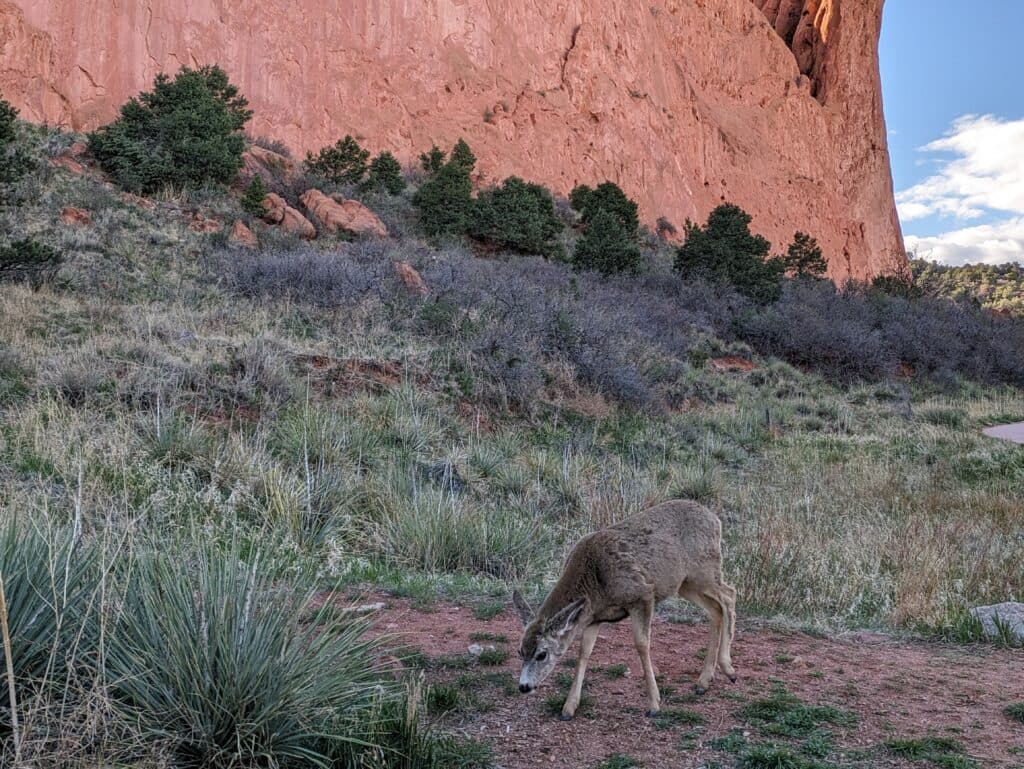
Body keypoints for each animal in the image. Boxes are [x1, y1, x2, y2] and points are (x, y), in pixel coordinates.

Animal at [512, 499, 737, 720]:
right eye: (520, 651)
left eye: (542, 654)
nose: (524, 687)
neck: (595, 582)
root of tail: (715, 519)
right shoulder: (593, 617)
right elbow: (584, 652)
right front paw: (569, 707)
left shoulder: (642, 595)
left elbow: (642, 644)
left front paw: (654, 704)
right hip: (686, 583)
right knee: (715, 609)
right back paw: (704, 681)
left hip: (704, 570)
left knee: (729, 595)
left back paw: (728, 669)